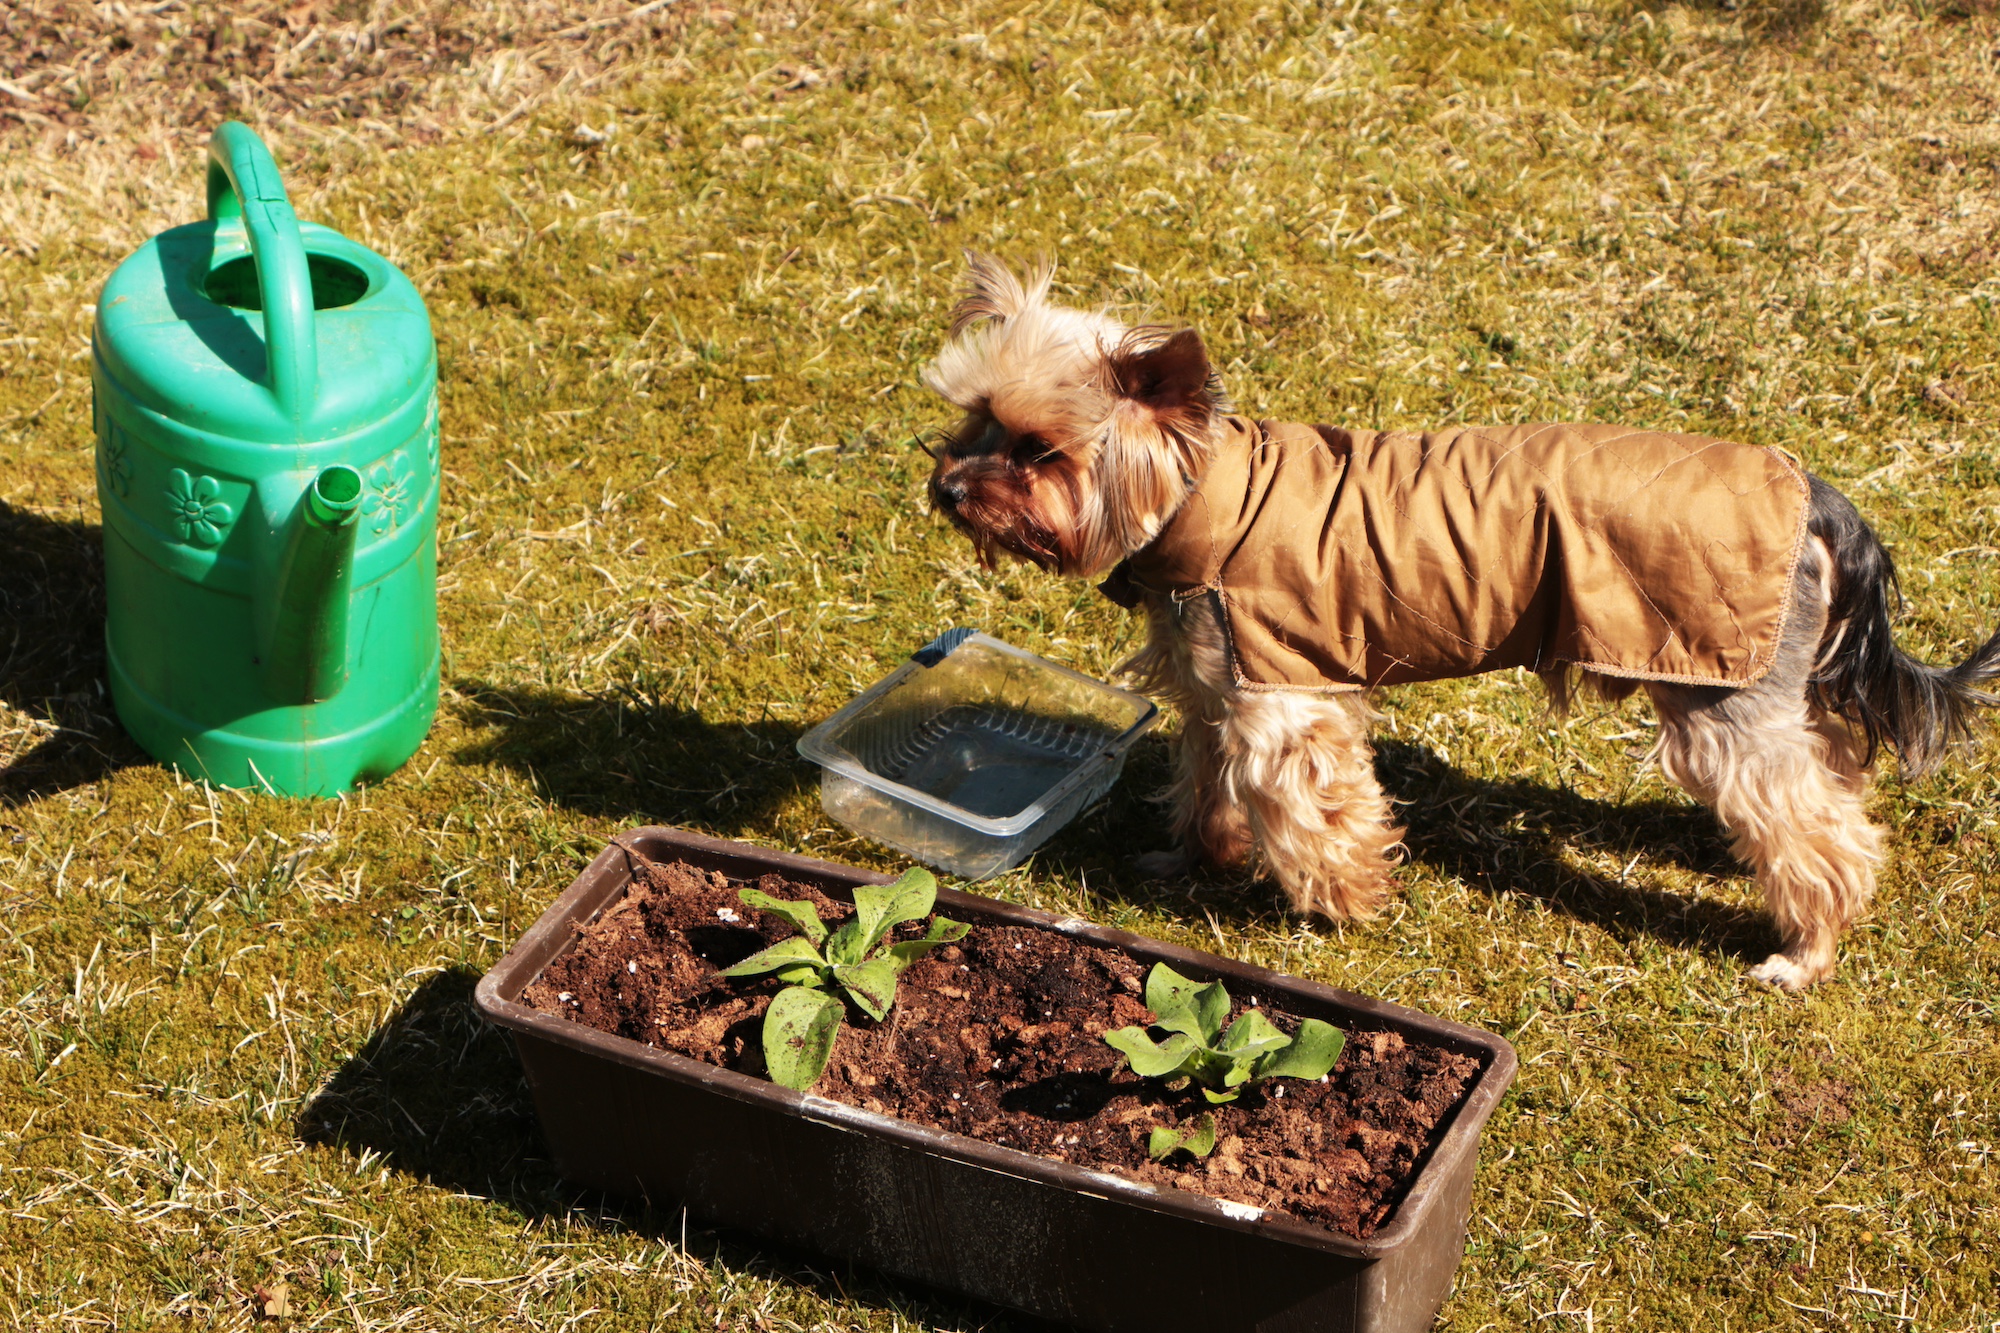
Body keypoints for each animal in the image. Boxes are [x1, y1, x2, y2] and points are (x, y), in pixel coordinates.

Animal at [920, 260, 2000, 984]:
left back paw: (1803, 950)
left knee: (1819, 828)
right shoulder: (1217, 679)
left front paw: (1351, 906)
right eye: (975, 419)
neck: (1199, 495)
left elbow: (1311, 803)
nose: (946, 487)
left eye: (1038, 451)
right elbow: (1205, 780)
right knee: (1833, 773)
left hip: (1721, 695)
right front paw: (1186, 859)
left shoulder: (1283, 699)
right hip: (1772, 685)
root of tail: (1816, 496)